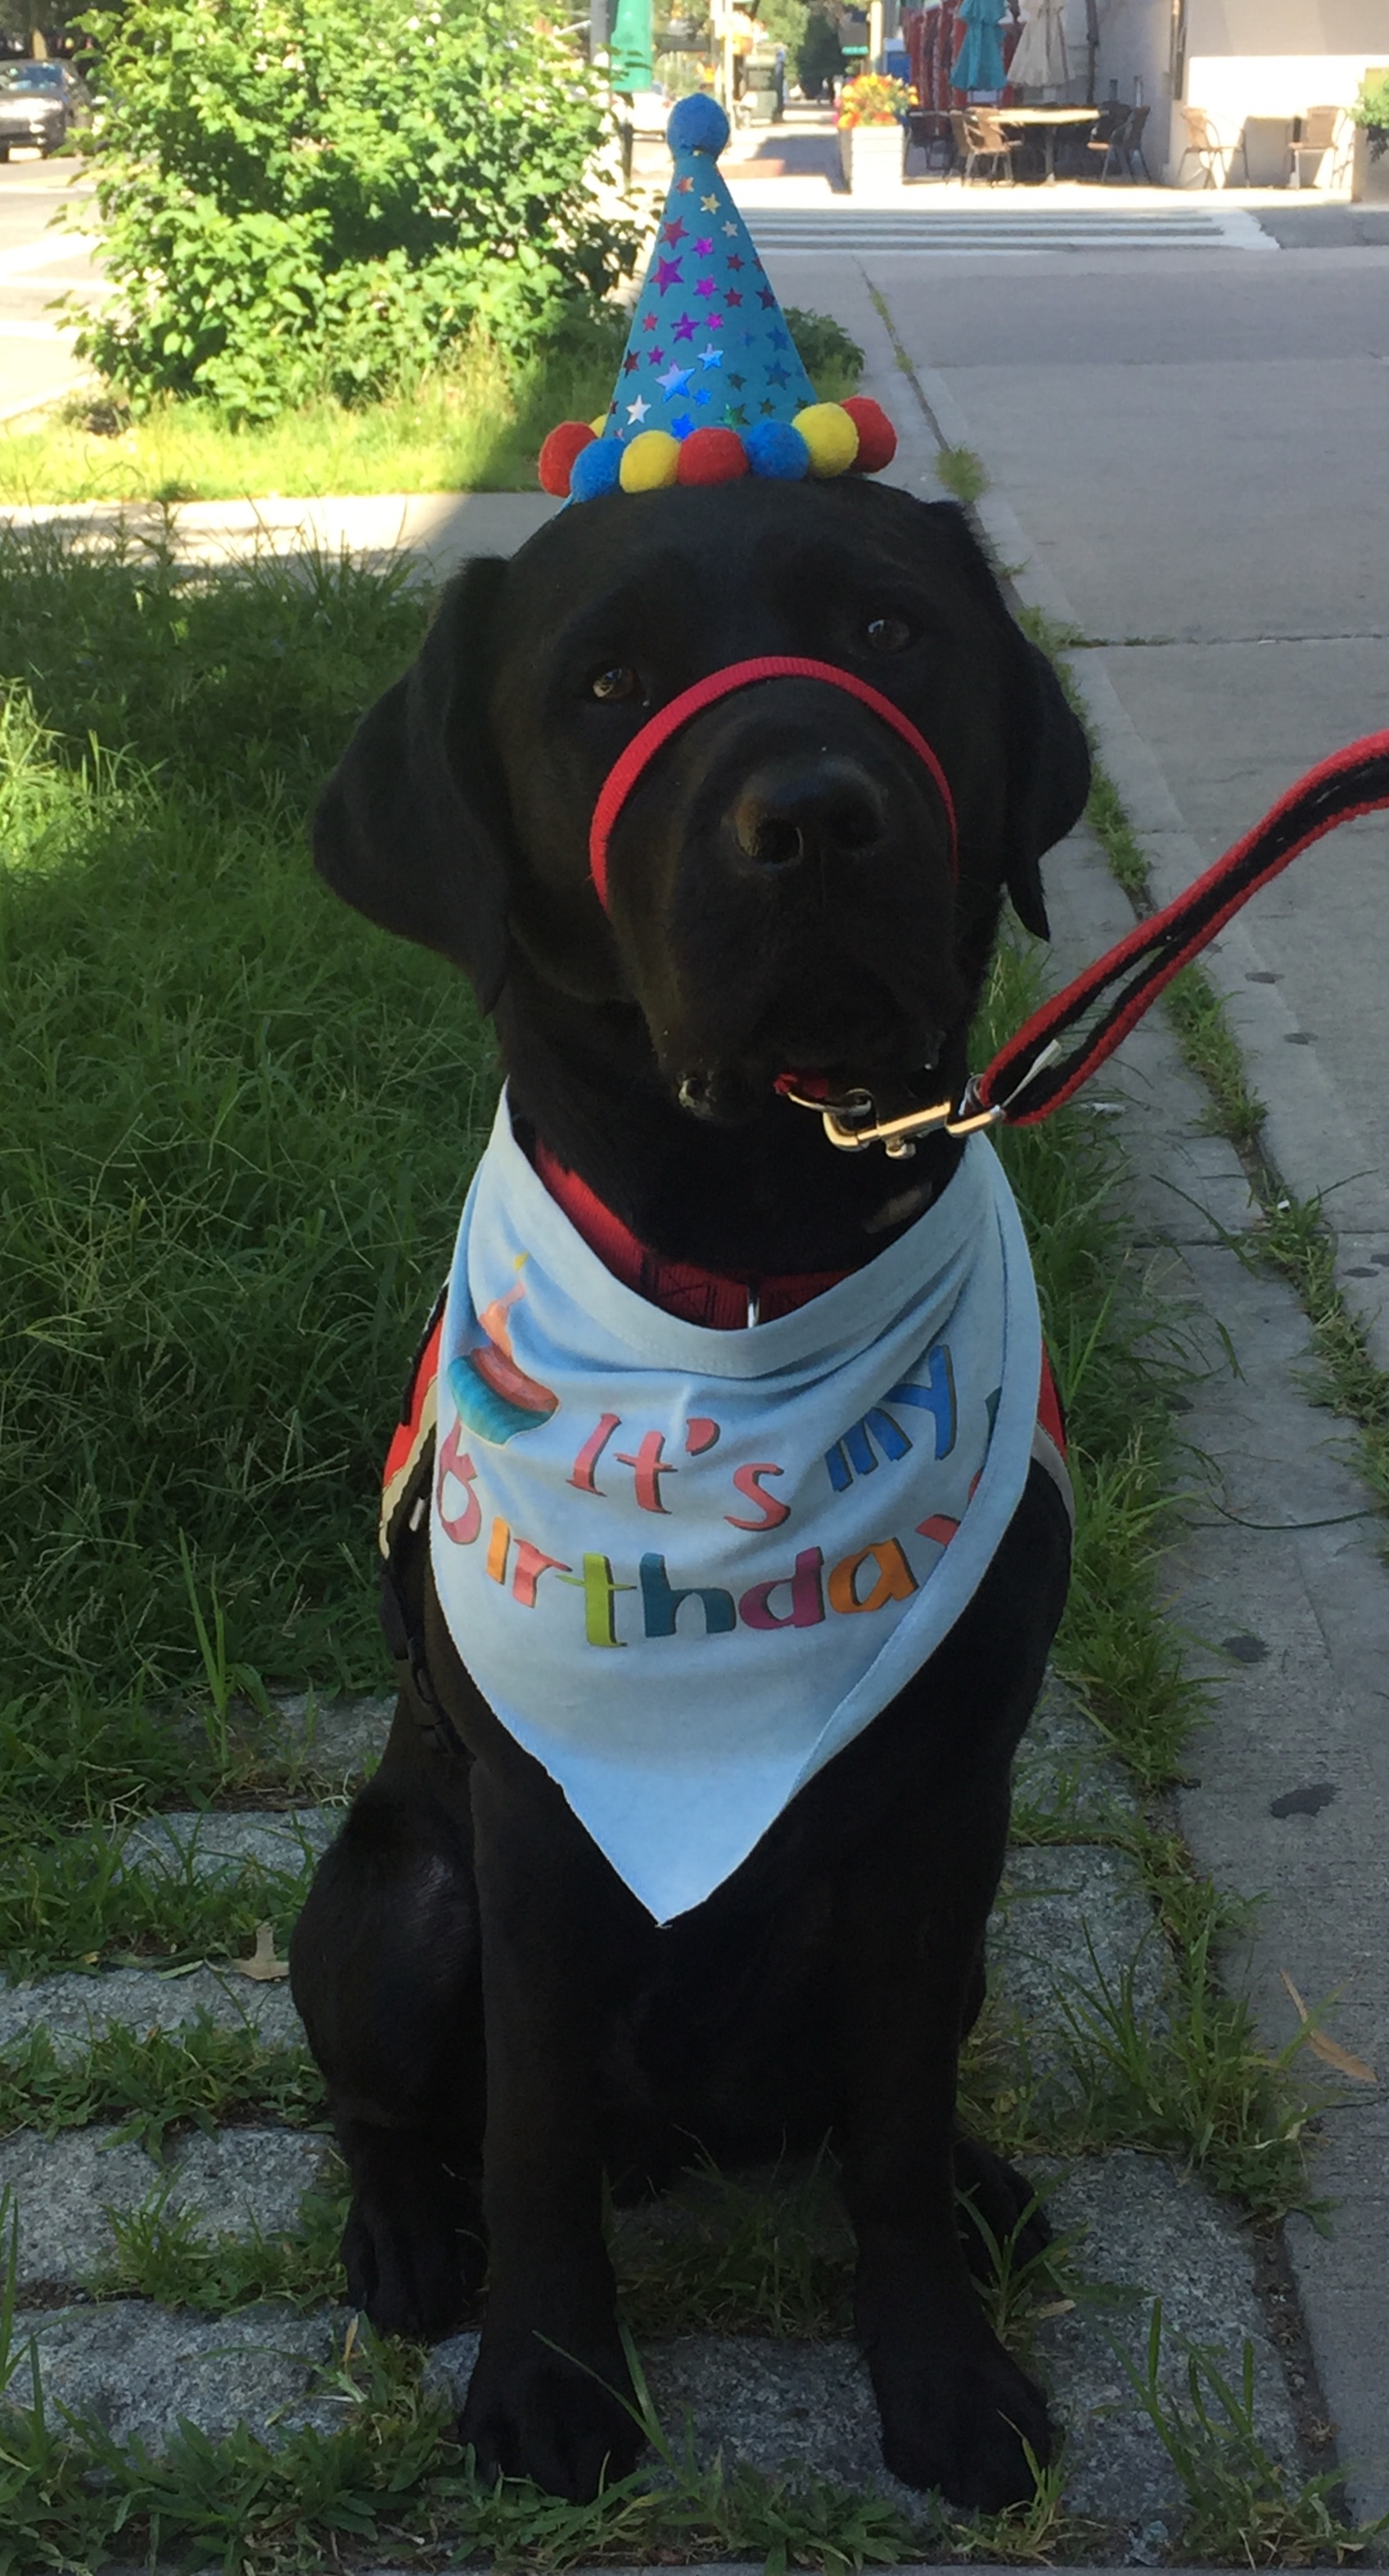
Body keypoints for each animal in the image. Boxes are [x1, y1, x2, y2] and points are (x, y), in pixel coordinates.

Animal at [293, 474, 1092, 2503]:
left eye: (886, 630)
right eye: (604, 684)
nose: (808, 813)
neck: (752, 1250)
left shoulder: (946, 1803)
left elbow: (893, 2124)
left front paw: (942, 2375)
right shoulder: (533, 1828)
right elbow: (530, 2134)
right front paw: (549, 2378)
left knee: (868, 2104)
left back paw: (981, 2187)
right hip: (391, 1897)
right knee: (384, 2104)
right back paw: (405, 2237)